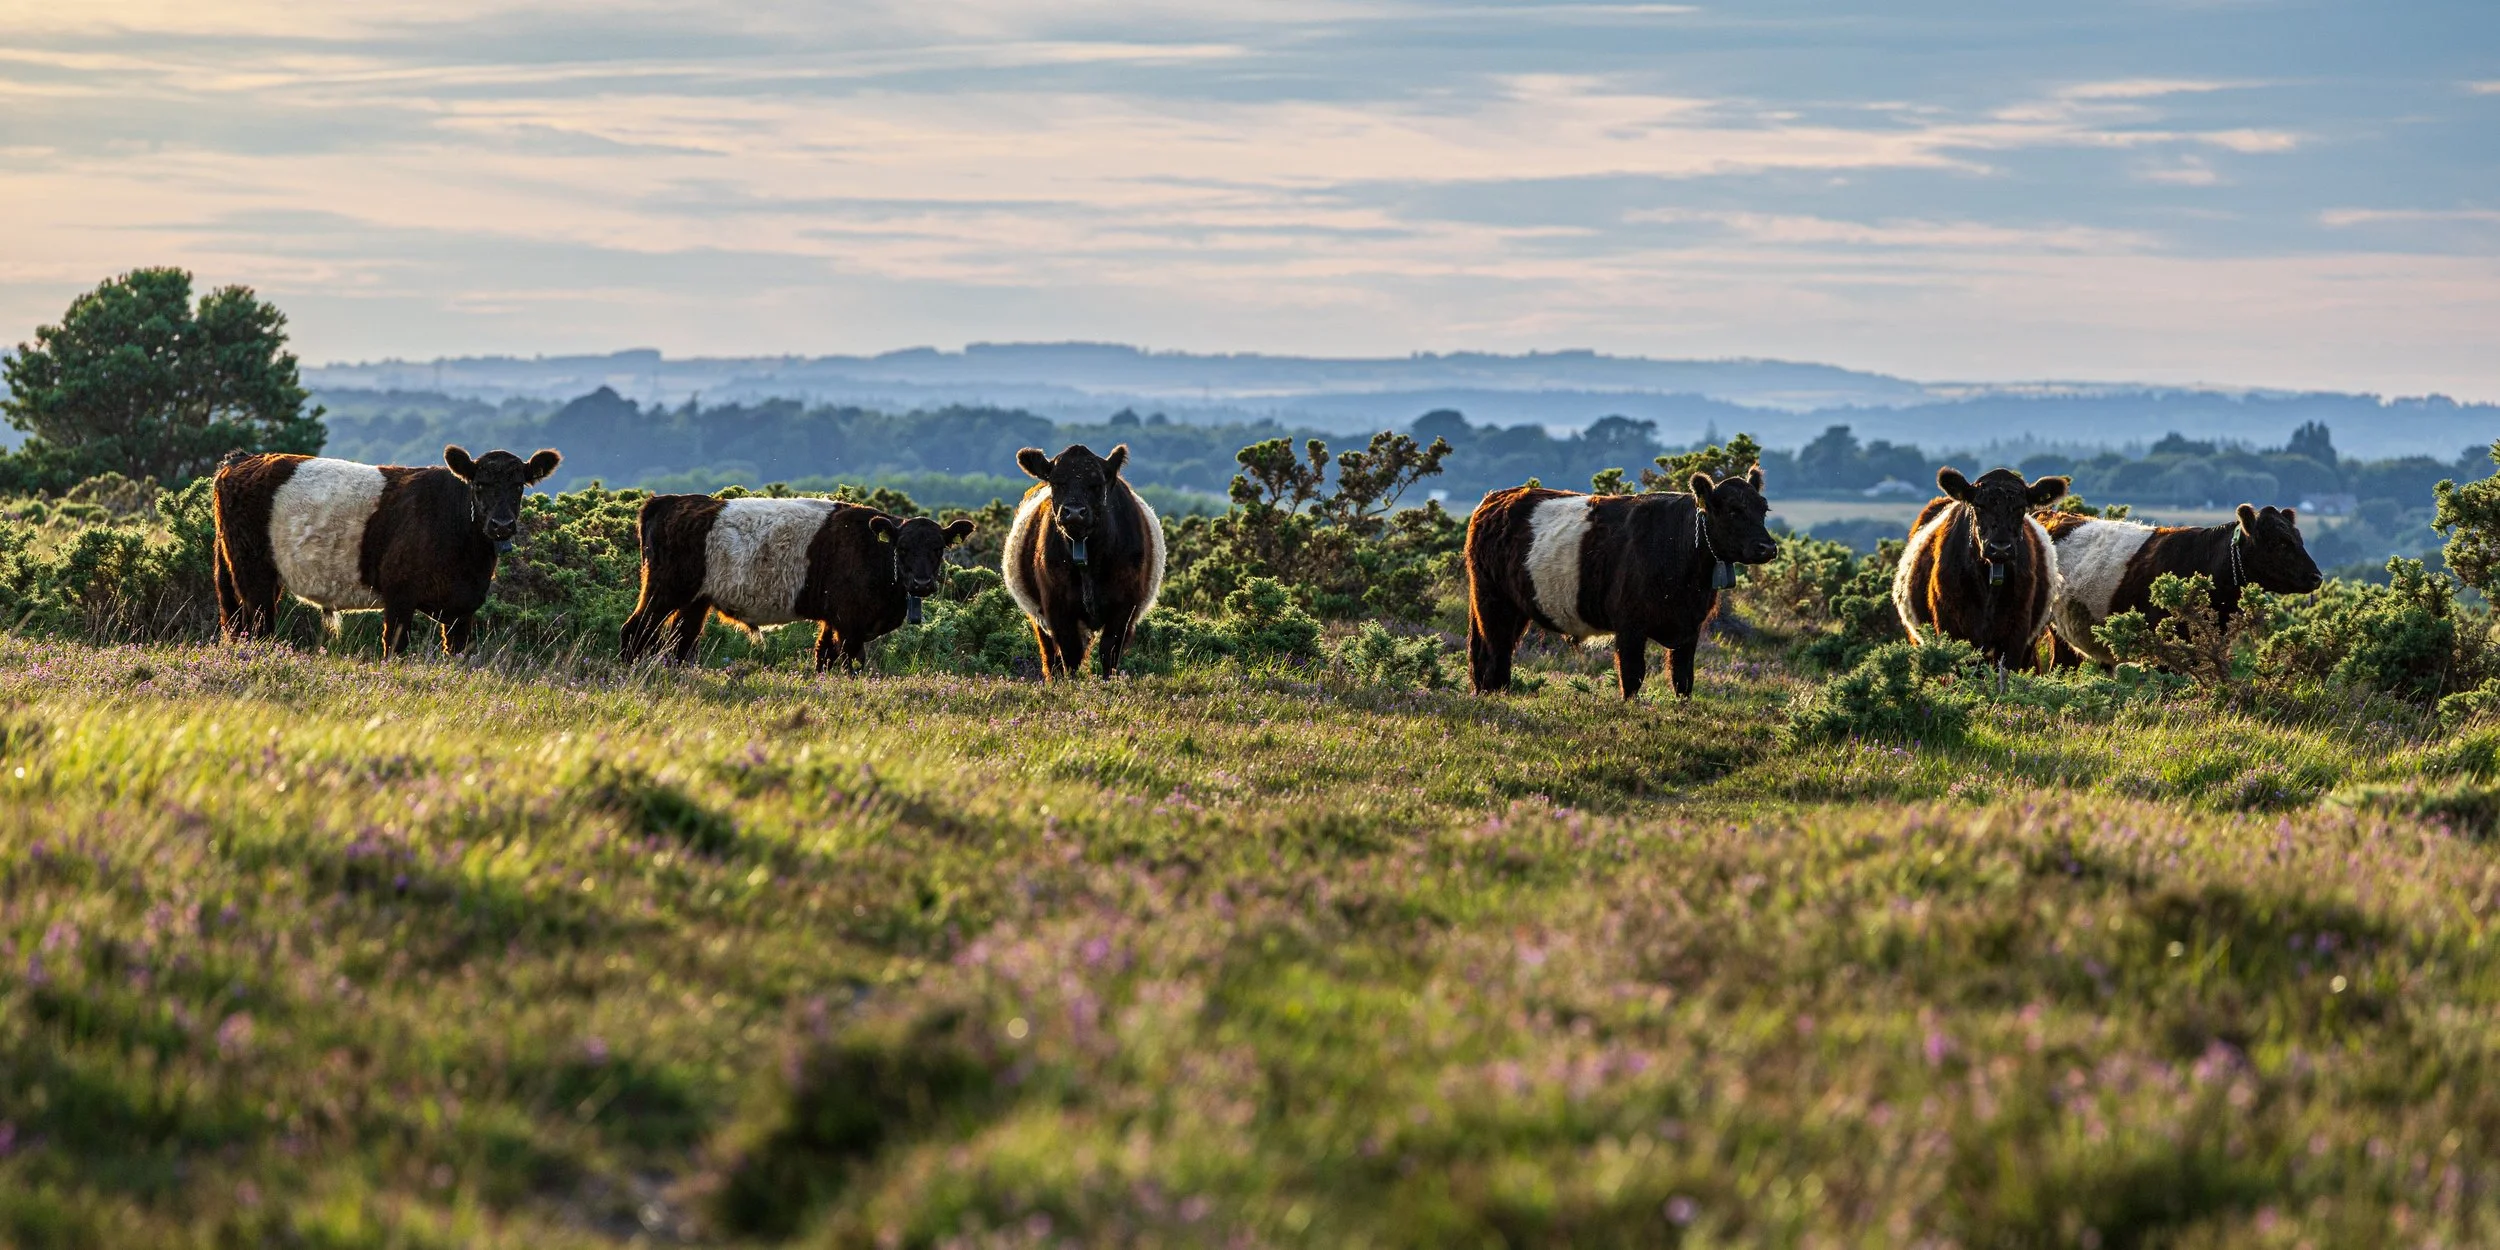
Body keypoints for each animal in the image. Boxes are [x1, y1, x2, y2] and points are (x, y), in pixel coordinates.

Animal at [213, 446, 562, 655]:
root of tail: (241, 459)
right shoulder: (400, 596)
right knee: (256, 628)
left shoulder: (463, 609)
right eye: (479, 485)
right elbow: (395, 649)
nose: (501, 525)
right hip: (252, 573)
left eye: (518, 486)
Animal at [619, 495, 974, 670]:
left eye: (938, 549)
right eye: (902, 548)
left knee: (682, 640)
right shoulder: (851, 624)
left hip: (696, 600)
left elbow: (823, 657)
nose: (922, 584)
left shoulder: (834, 620)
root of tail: (666, 501)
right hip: (665, 588)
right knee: (636, 630)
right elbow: (850, 662)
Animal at [1002, 443, 1165, 679]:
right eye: (1057, 482)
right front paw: (1071, 684)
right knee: (1050, 655)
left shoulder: (1124, 606)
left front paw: (1108, 682)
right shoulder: (1057, 605)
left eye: (1097, 484)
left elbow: (1109, 650)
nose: (1074, 513)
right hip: (1038, 616)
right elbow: (1070, 653)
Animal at [1465, 469, 1781, 700]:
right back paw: (1496, 696)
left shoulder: (1690, 628)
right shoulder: (1630, 626)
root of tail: (1493, 500)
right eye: (1733, 510)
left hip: (1515, 607)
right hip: (1493, 601)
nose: (1767, 547)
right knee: (1496, 651)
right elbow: (1632, 676)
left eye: (1763, 509)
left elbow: (1683, 679)